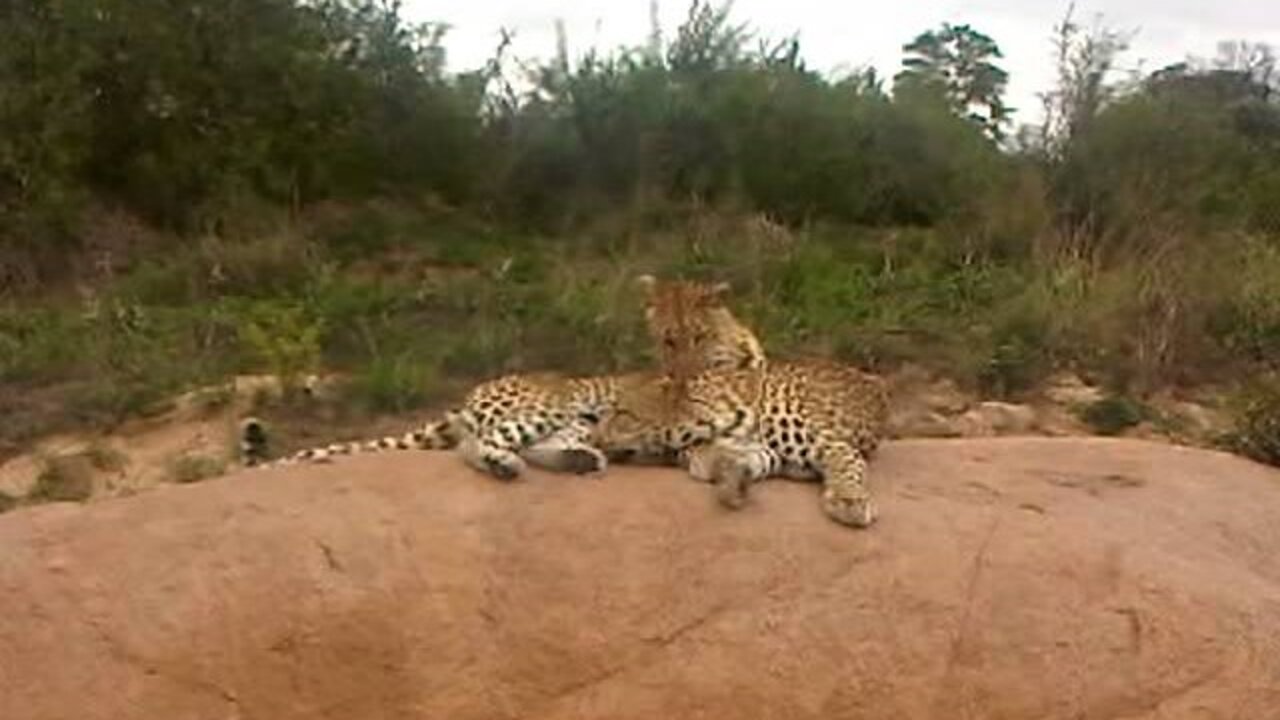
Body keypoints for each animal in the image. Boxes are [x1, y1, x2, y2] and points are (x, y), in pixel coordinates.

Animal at [240, 271, 762, 479]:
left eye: (696, 337)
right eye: (666, 341)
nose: (677, 374)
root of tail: (476, 390)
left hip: (576, 420)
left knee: (543, 445)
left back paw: (579, 459)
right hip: (555, 405)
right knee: (480, 443)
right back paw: (508, 464)